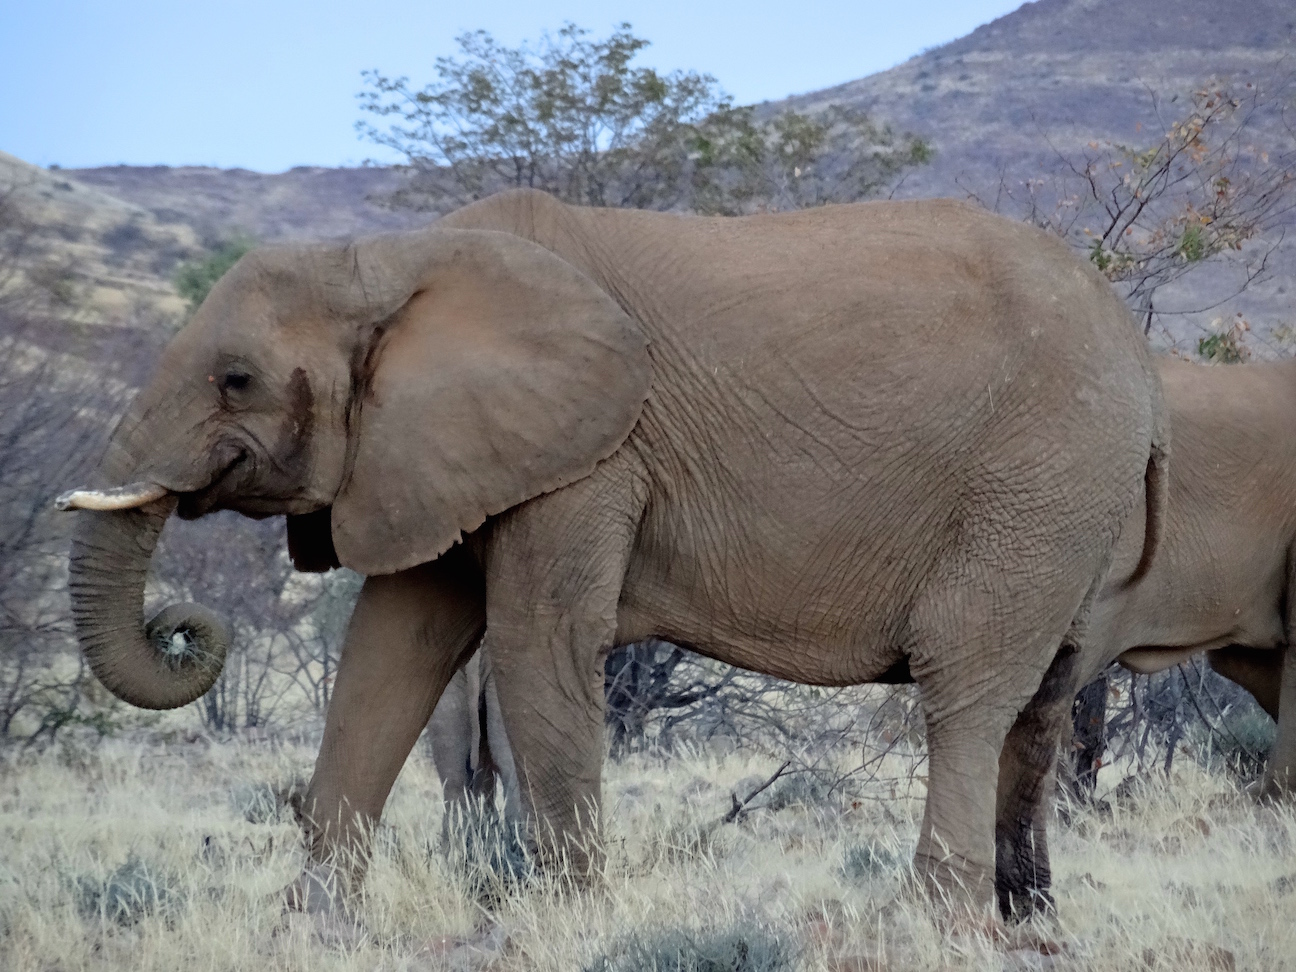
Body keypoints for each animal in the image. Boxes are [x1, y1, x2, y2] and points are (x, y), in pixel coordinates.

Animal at [57, 188, 1167, 919]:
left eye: (236, 379)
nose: (182, 627)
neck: (389, 257)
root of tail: (1136, 347)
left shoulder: (590, 451)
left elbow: (537, 639)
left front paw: (567, 919)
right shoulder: (437, 451)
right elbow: (392, 652)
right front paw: (311, 924)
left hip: (1039, 477)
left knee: (966, 683)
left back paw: (932, 920)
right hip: (1070, 499)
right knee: (1044, 699)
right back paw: (1027, 921)